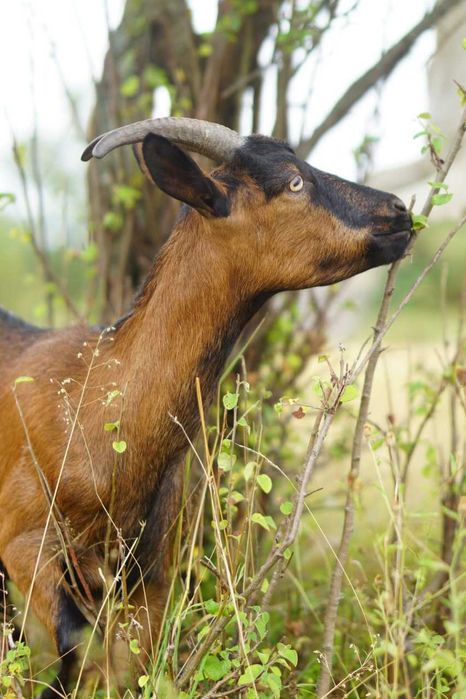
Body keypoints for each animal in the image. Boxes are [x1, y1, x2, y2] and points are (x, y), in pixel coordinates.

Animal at [0, 117, 412, 697]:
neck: (98, 397)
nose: (398, 211)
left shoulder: (148, 580)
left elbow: (117, 670)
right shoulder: (24, 544)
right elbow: (73, 650)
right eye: (293, 182)